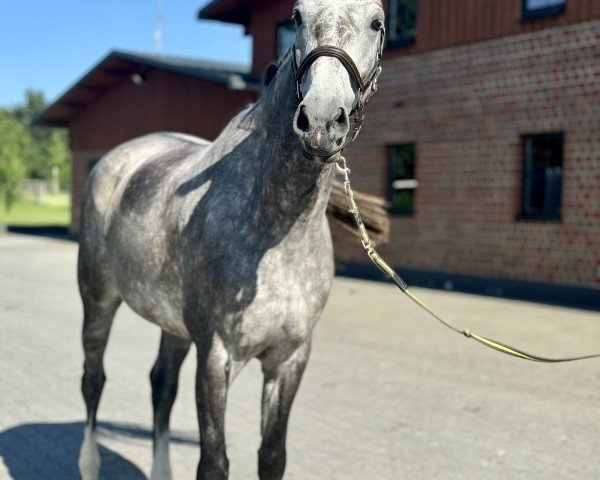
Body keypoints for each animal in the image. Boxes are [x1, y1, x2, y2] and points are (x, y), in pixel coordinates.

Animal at [76, 1, 384, 478]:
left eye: (377, 22)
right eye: (297, 16)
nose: (320, 121)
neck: (276, 236)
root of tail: (117, 160)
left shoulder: (289, 358)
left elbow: (272, 456)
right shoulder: (216, 357)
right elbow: (213, 461)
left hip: (174, 325)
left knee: (161, 385)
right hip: (98, 300)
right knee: (93, 380)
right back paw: (89, 463)